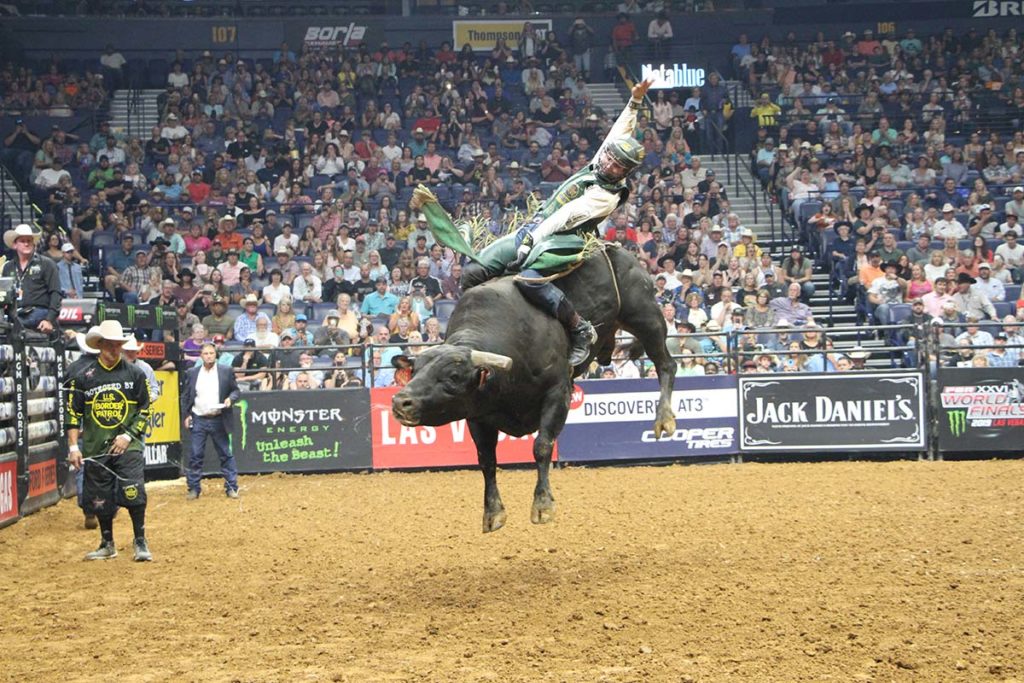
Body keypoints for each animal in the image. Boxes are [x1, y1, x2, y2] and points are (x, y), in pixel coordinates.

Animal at [391, 245, 677, 533]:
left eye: (452, 376)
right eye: (415, 371)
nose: (401, 401)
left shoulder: (558, 393)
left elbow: (542, 446)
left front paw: (542, 505)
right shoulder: (477, 415)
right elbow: (487, 459)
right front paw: (492, 513)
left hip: (646, 317)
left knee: (667, 365)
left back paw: (664, 419)